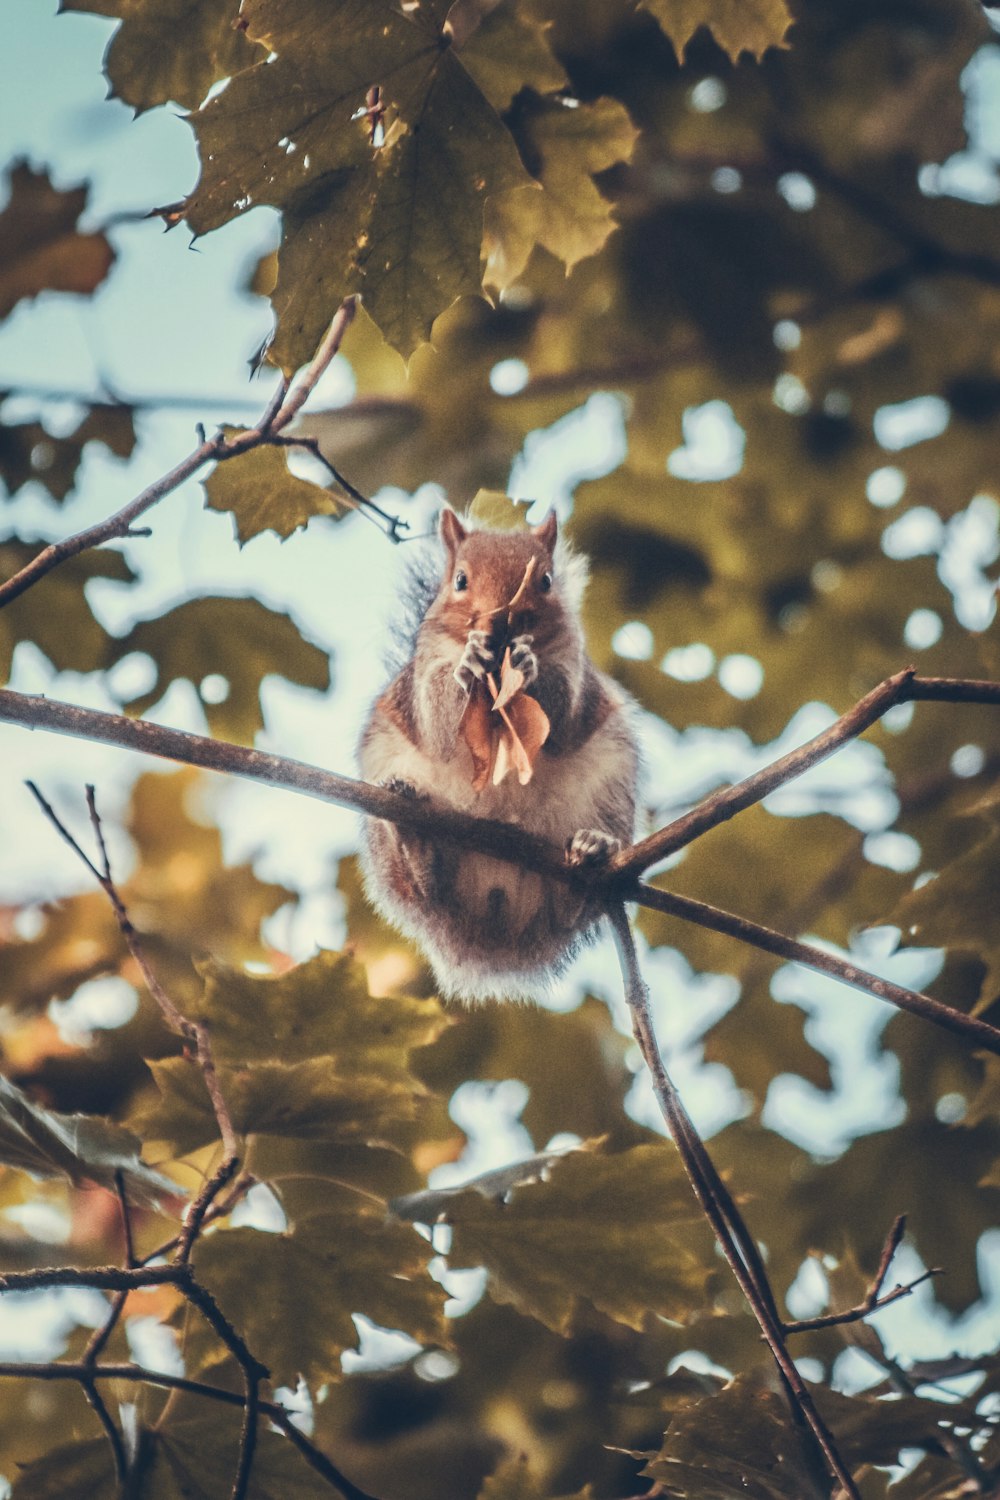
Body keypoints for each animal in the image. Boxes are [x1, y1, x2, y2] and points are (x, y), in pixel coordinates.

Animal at [359, 510, 641, 1002]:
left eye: (545, 580)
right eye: (460, 580)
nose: (500, 623)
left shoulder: (573, 666)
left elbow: (562, 718)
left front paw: (528, 667)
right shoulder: (425, 669)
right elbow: (438, 721)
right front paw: (467, 665)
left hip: (612, 782)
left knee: (571, 906)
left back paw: (593, 851)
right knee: (425, 890)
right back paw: (416, 838)